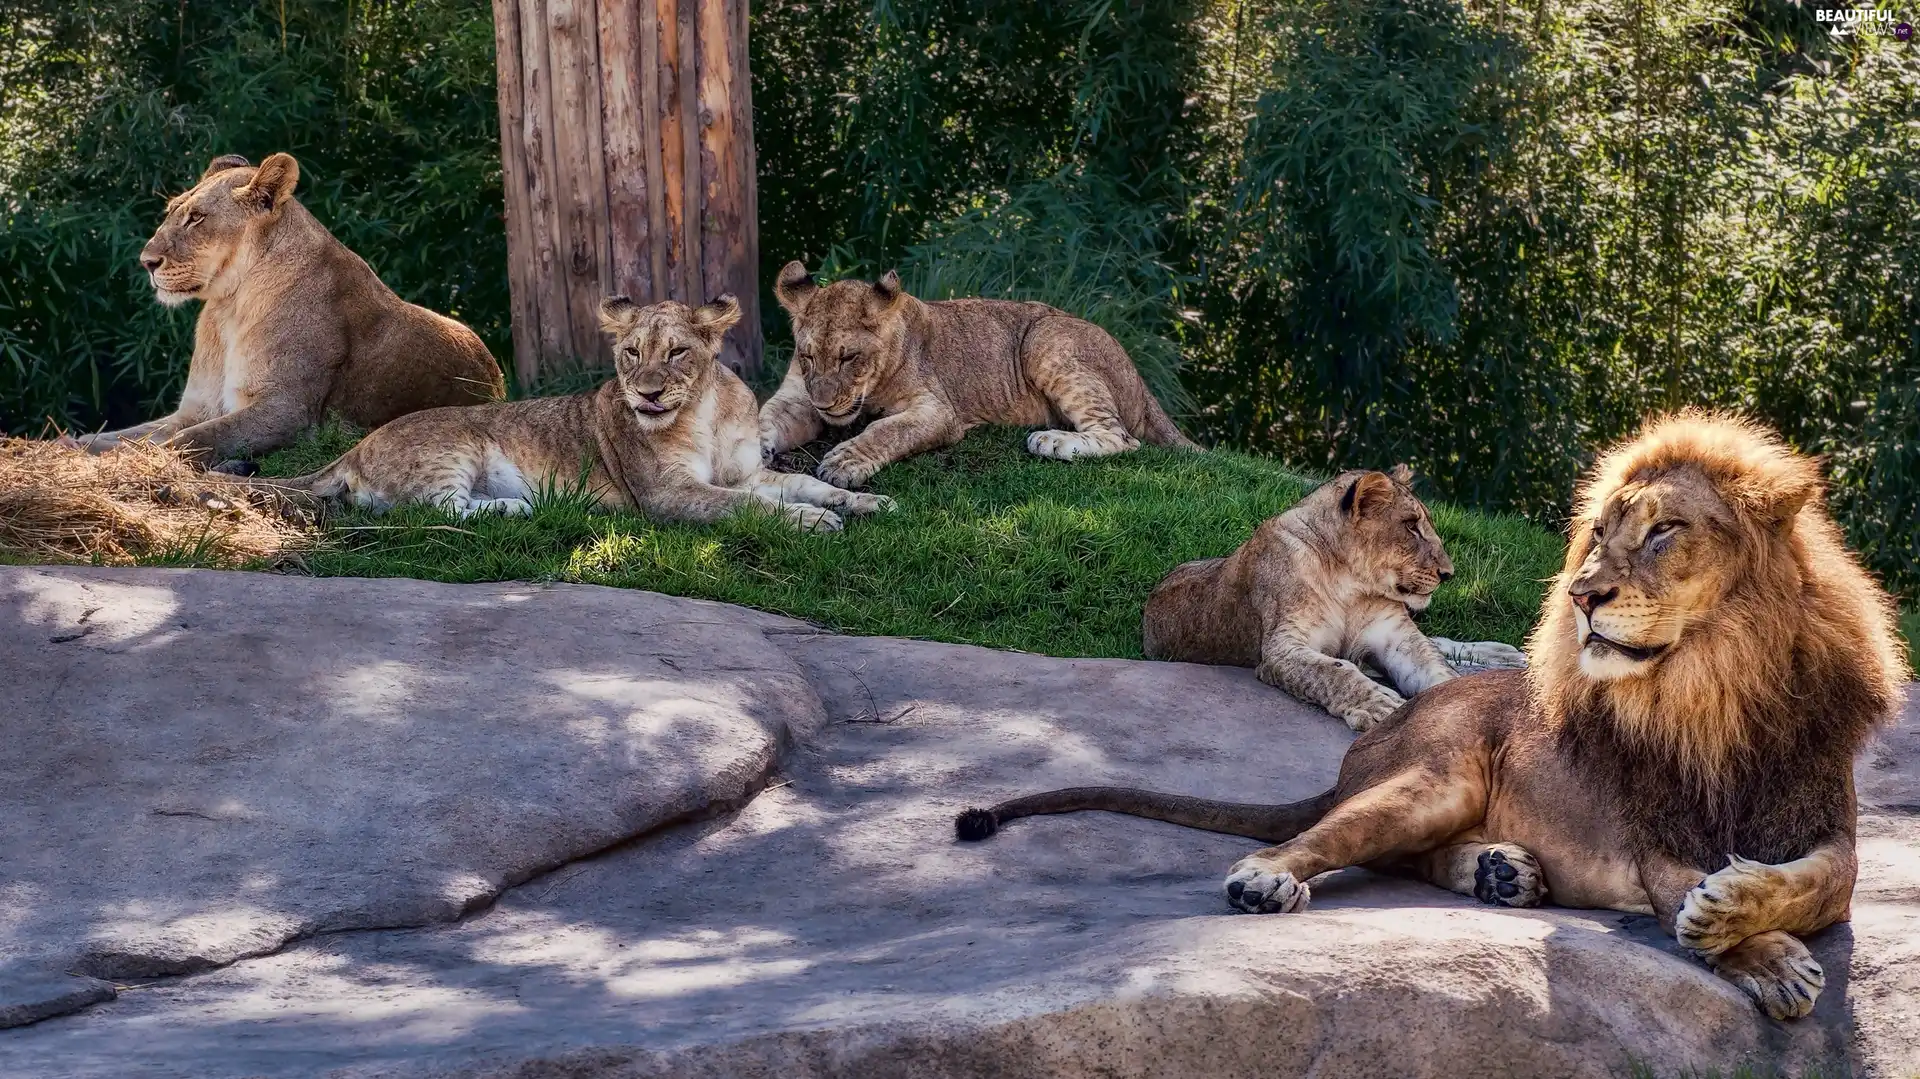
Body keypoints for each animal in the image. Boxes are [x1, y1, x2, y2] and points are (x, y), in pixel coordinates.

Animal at [245, 293, 890, 529]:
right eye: (631, 354)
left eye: (677, 353)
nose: (647, 395)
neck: (702, 412)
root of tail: (353, 450)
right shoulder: (666, 495)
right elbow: (747, 508)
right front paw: (812, 523)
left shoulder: (750, 472)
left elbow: (805, 483)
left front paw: (865, 501)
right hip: (455, 442)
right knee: (435, 509)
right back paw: (523, 507)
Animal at [756, 259, 1190, 485]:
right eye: (808, 356)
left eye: (849, 358)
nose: (825, 404)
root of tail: (1140, 380)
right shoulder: (799, 396)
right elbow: (765, 418)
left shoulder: (939, 412)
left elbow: (888, 430)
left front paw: (844, 462)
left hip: (1044, 337)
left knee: (1123, 438)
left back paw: (1053, 441)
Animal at [1136, 456, 1528, 725]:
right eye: (1410, 526)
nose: (1448, 574)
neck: (1351, 585)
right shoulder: (1282, 648)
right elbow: (1335, 672)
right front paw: (1384, 706)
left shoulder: (1397, 637)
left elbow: (1437, 670)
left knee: (1440, 644)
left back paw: (1509, 654)